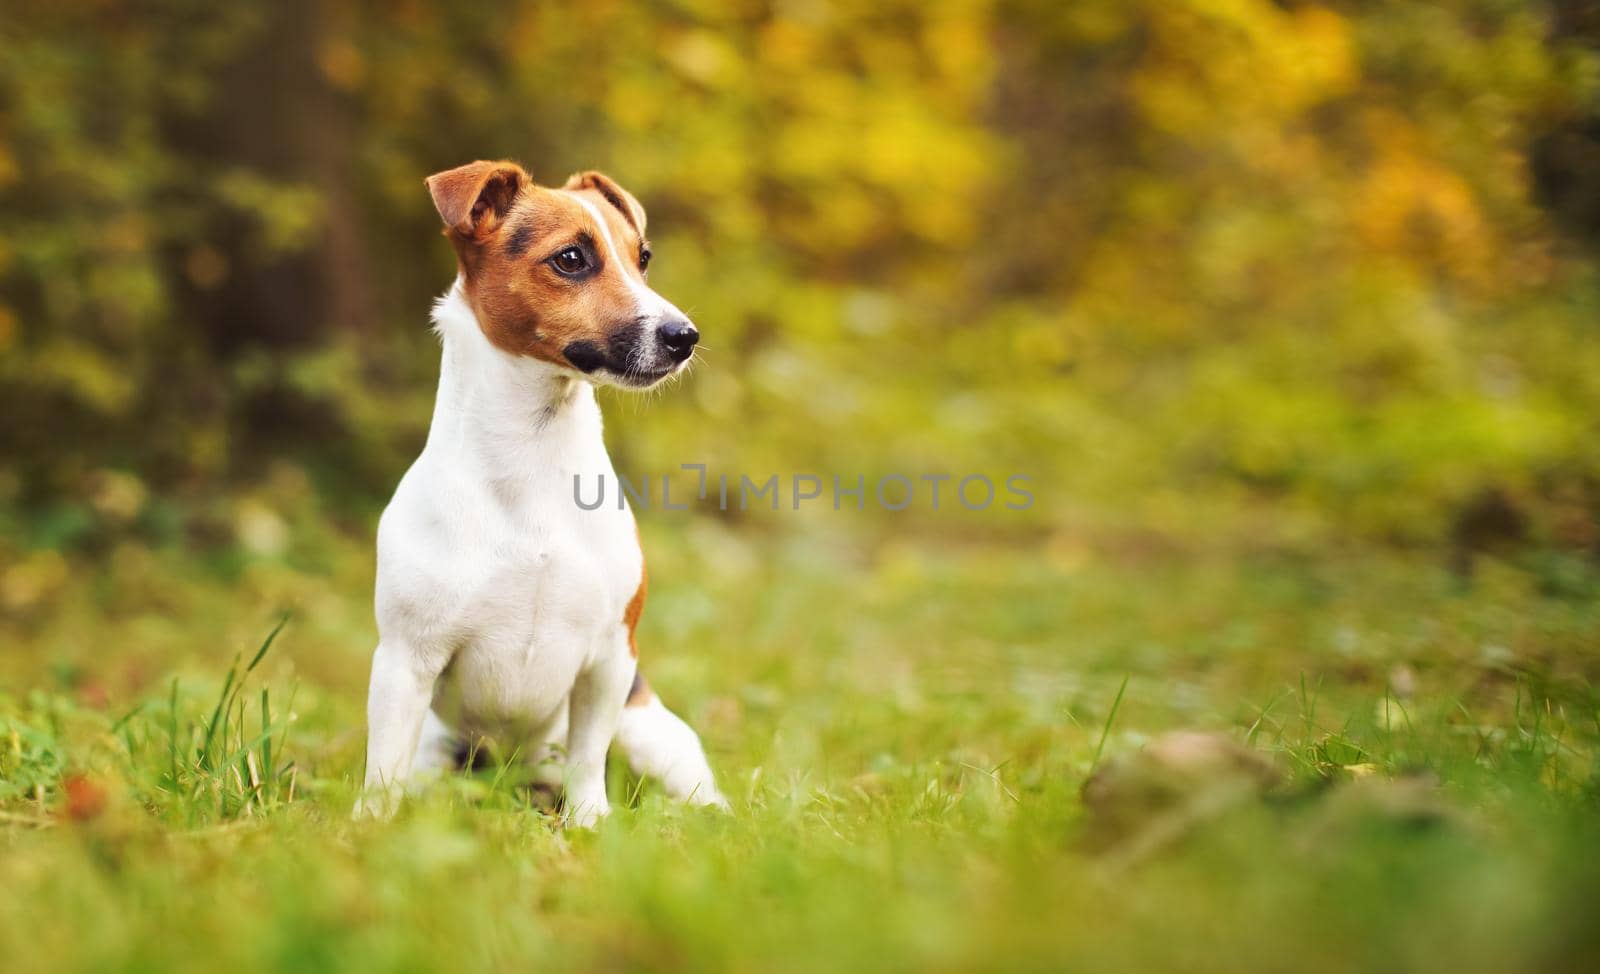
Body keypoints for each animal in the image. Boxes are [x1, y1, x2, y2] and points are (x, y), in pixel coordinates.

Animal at [361, 161, 726, 825]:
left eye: (643, 257)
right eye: (572, 258)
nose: (684, 335)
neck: (532, 456)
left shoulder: (610, 658)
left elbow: (587, 758)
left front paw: (589, 823)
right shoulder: (406, 661)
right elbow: (382, 770)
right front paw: (368, 828)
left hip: (652, 733)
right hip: (438, 748)